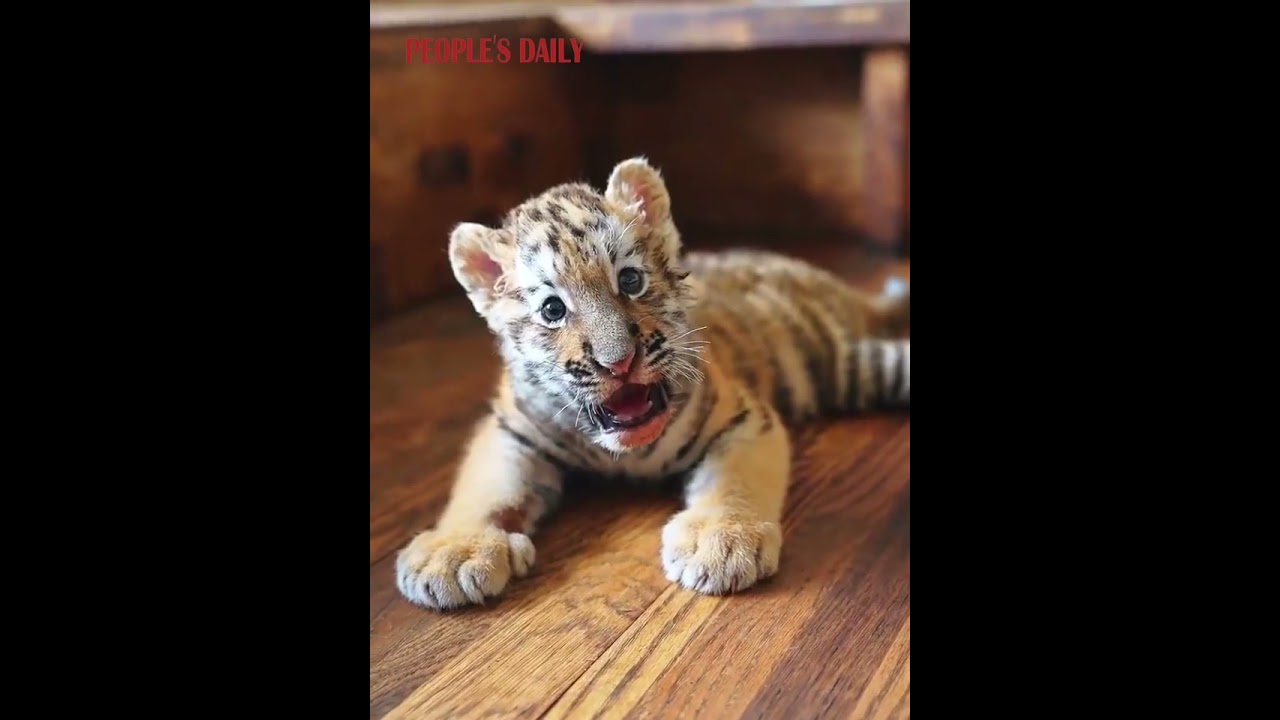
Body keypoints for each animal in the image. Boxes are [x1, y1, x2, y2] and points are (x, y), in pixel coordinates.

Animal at [394, 157, 910, 610]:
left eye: (630, 280)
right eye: (552, 309)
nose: (619, 362)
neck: (624, 454)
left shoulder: (744, 418)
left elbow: (734, 479)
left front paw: (721, 541)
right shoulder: (510, 431)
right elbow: (485, 487)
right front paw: (453, 553)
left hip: (852, 367)